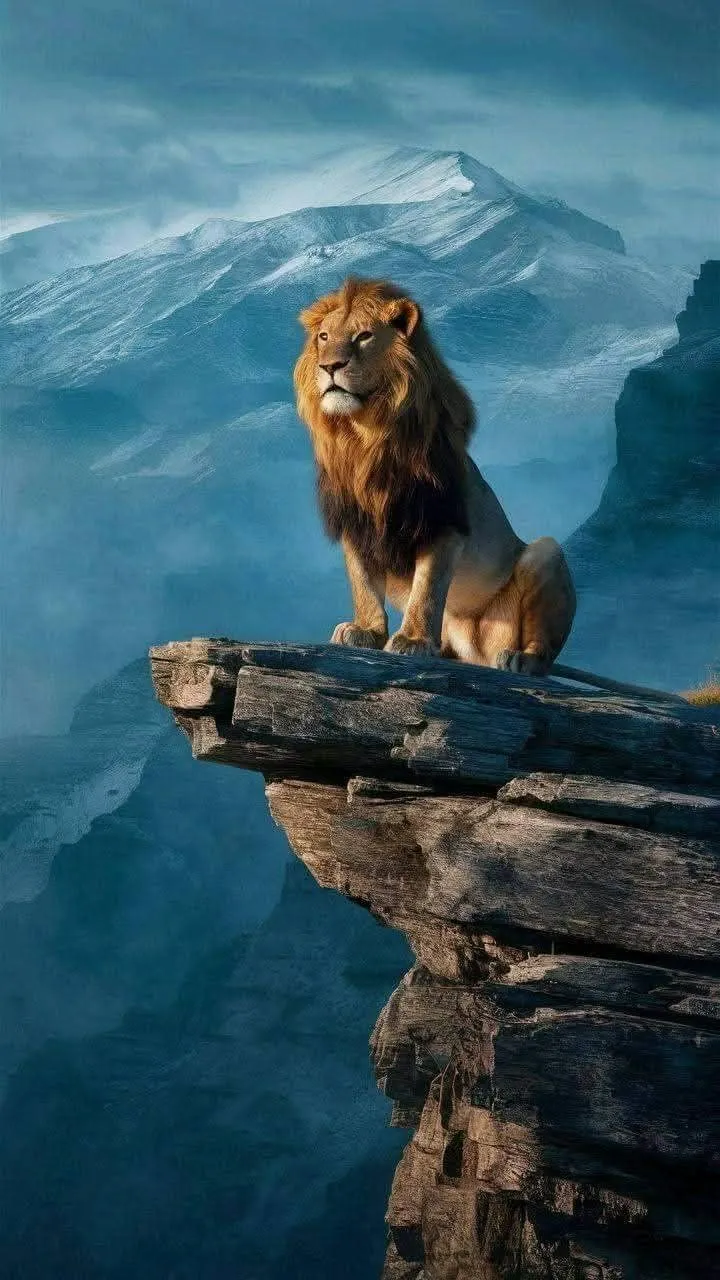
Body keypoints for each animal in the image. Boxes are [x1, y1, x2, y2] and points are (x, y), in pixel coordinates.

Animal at [293, 276, 684, 702]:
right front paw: (366, 631)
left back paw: (519, 659)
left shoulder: (444, 522)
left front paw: (412, 641)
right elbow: (363, 583)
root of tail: (477, 649)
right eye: (324, 337)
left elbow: (427, 590)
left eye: (363, 336)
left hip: (545, 555)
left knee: (542, 651)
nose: (329, 366)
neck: (366, 437)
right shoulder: (355, 523)